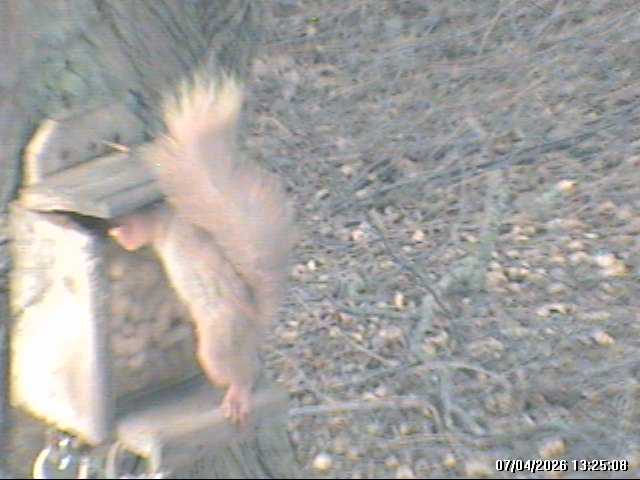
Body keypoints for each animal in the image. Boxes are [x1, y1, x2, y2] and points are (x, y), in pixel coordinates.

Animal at [108, 75, 295, 425]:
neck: (166, 209)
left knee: (242, 372)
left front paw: (115, 230)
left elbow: (134, 236)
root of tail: (253, 320)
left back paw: (238, 396)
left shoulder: (152, 223)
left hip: (218, 343)